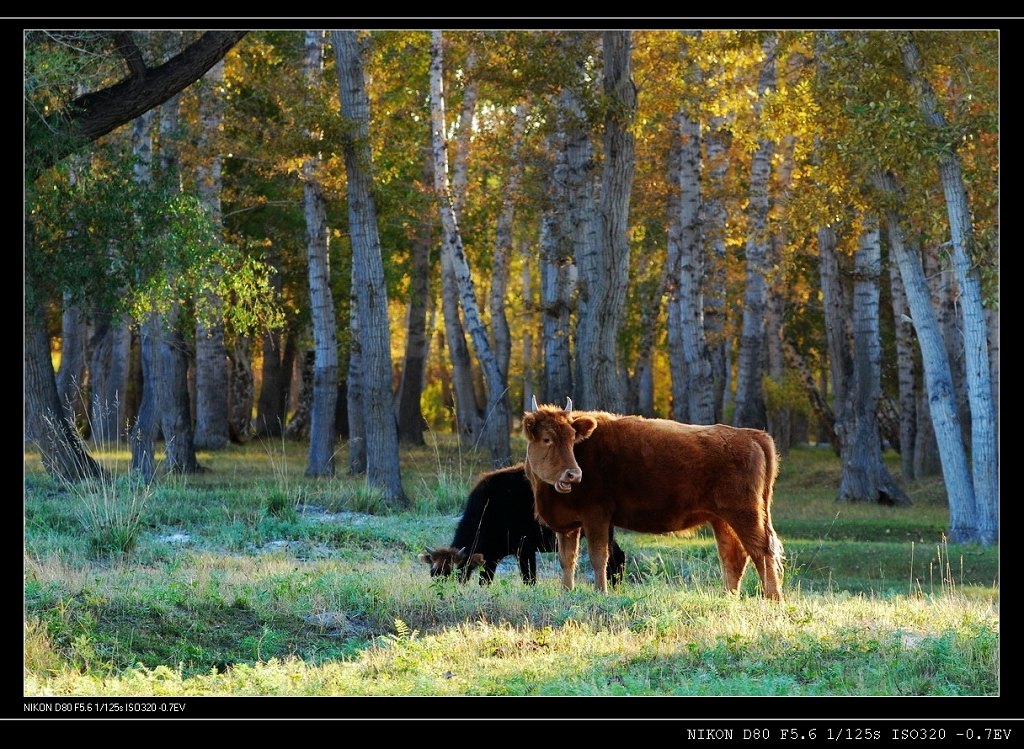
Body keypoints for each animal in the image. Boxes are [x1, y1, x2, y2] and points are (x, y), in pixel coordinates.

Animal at [524, 397, 786, 602]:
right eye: (547, 439)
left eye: (572, 438)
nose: (574, 474)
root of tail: (752, 435)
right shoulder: (569, 526)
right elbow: (567, 559)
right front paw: (566, 592)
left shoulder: (596, 517)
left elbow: (598, 557)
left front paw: (601, 593)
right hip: (721, 519)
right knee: (733, 555)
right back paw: (728, 598)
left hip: (745, 514)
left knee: (762, 551)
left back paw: (774, 599)